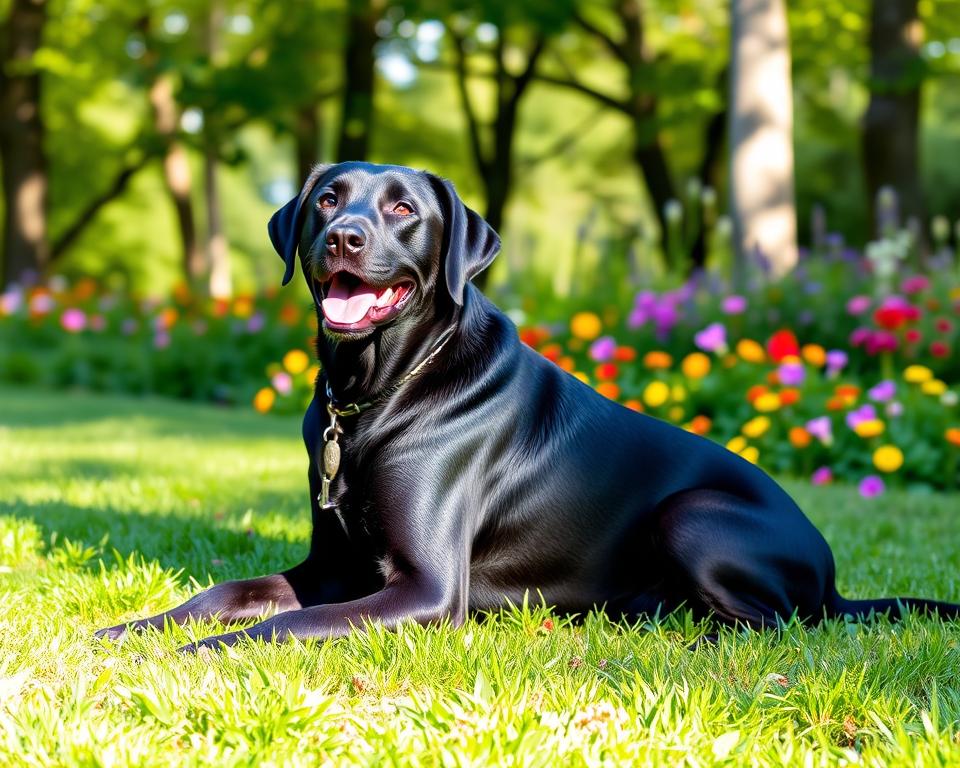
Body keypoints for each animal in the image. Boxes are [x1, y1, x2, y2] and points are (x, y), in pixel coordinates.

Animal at [95, 160, 952, 648]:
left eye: (403, 210)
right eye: (328, 199)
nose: (342, 237)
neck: (374, 391)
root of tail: (834, 578)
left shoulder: (427, 589)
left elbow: (286, 622)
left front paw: (194, 655)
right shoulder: (331, 564)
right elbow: (228, 593)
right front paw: (133, 628)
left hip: (694, 513)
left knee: (778, 627)